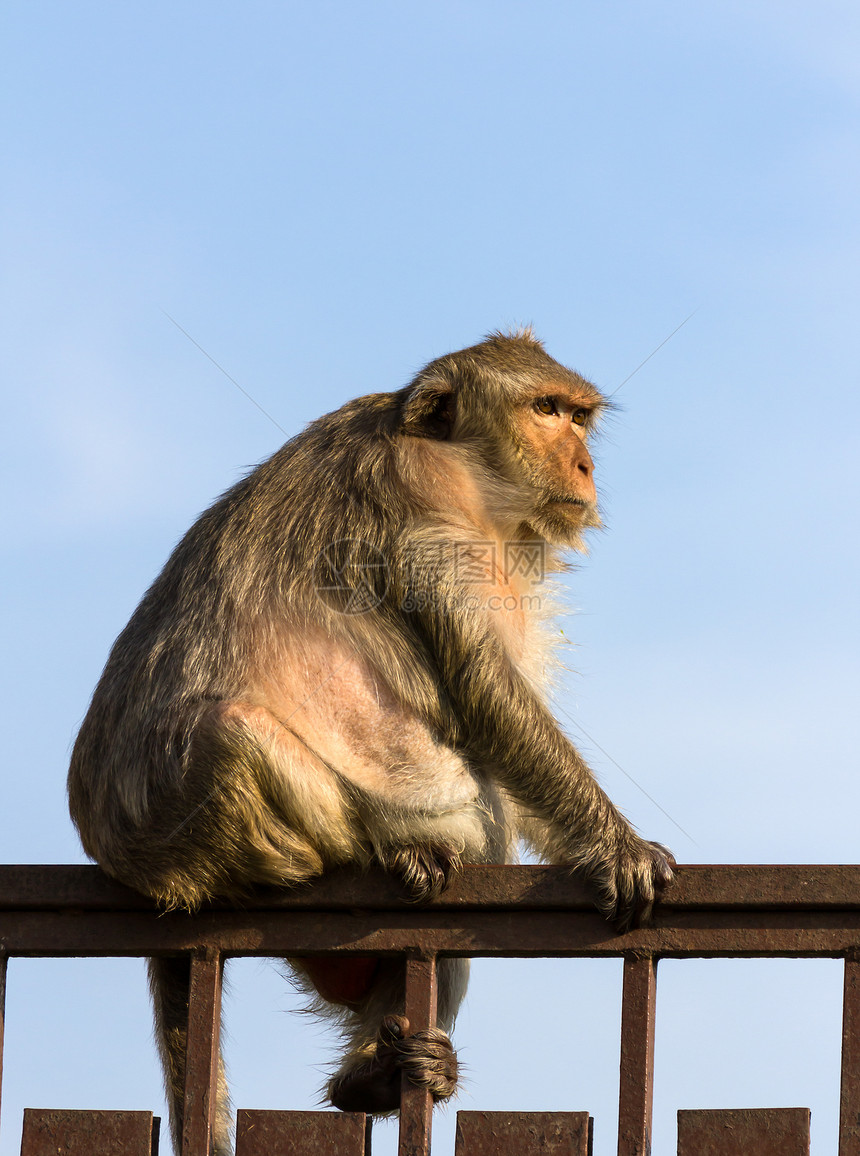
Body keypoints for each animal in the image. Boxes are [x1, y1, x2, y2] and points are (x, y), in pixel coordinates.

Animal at [67, 330, 670, 1151]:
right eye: (545, 410)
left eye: (579, 416)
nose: (585, 466)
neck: (457, 463)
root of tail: (136, 876)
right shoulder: (424, 529)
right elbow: (491, 701)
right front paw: (617, 846)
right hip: (202, 833)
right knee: (239, 734)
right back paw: (385, 855)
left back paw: (374, 1074)